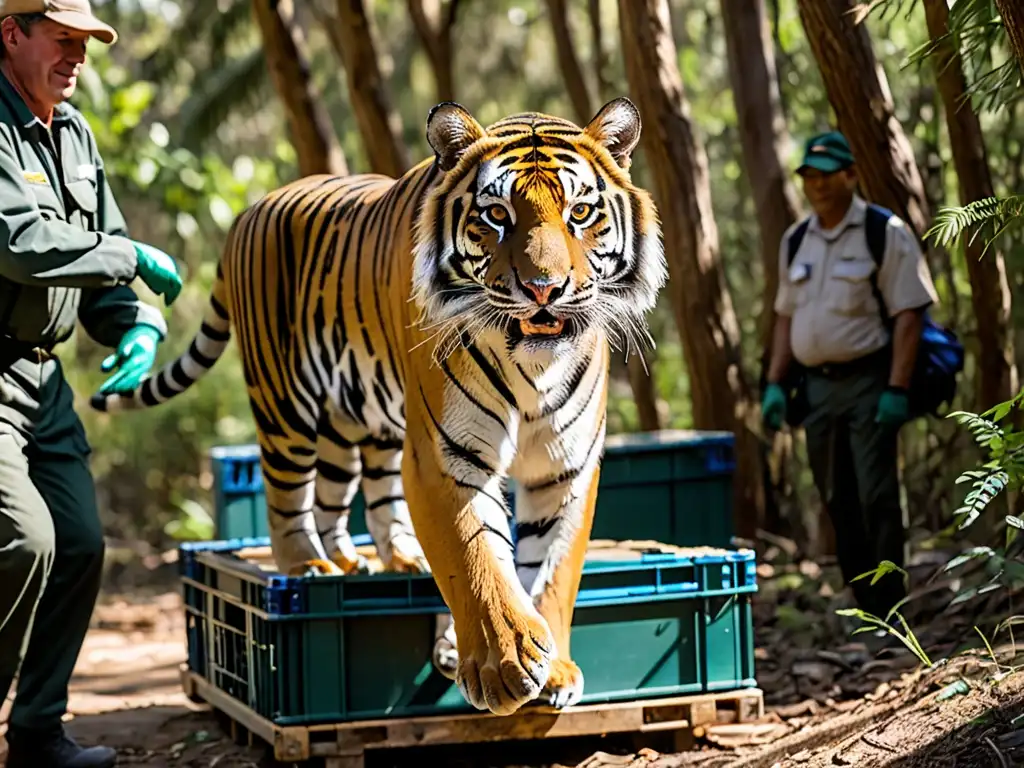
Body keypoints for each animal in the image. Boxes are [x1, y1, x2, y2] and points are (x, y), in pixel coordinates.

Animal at [92, 99, 667, 720]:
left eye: (580, 212)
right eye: (496, 215)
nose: (544, 289)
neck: (533, 367)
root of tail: (250, 210)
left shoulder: (564, 464)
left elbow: (551, 570)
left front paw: (552, 665)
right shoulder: (446, 456)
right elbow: (478, 559)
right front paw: (505, 663)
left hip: (357, 422)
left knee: (344, 497)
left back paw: (375, 560)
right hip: (285, 405)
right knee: (286, 499)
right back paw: (308, 566)